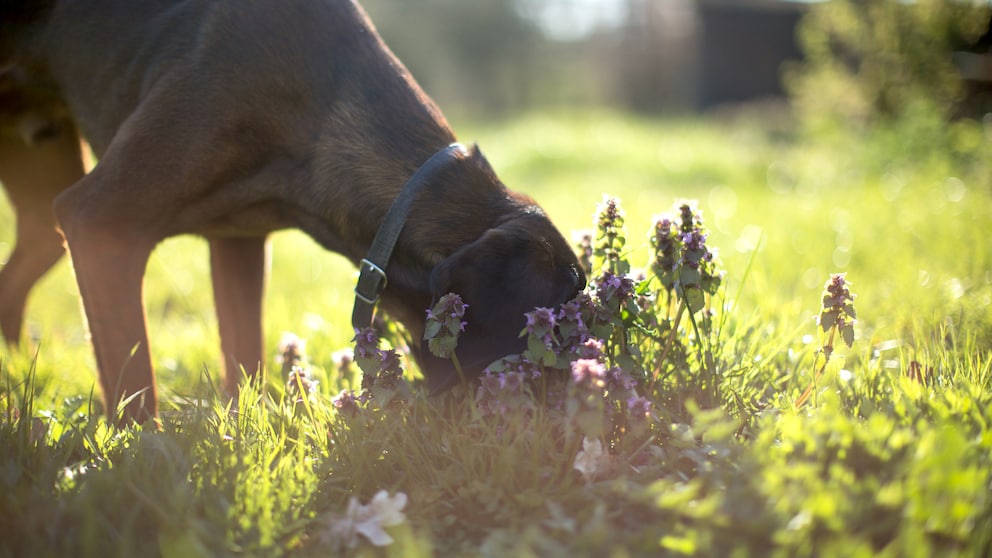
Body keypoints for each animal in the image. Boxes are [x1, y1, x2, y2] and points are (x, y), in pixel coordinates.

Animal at [0, 1, 584, 424]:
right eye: (553, 336)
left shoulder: (237, 244)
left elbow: (244, 359)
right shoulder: (102, 223)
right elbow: (135, 389)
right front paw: (145, 462)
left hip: (44, 216)